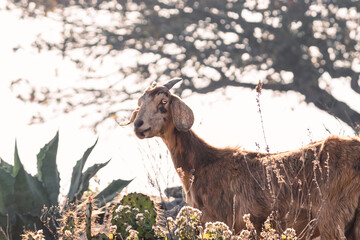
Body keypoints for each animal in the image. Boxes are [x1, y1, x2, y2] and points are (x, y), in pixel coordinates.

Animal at [122, 79, 360, 240]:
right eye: (140, 102)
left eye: (163, 100)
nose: (138, 125)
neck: (202, 162)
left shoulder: (218, 219)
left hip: (331, 219)